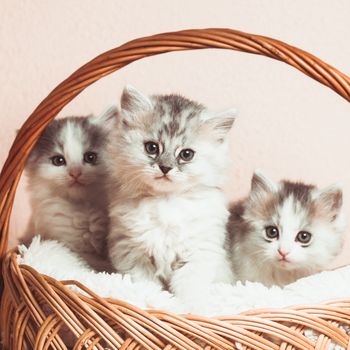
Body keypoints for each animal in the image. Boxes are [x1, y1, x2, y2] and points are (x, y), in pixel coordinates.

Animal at [23, 108, 116, 272]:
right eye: (58, 160)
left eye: (90, 157)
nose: (75, 173)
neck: (83, 208)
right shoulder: (65, 243)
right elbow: (90, 263)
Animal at [108, 85, 237, 304]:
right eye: (152, 147)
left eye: (186, 154)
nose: (165, 168)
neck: (166, 202)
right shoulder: (131, 252)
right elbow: (146, 286)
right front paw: (154, 302)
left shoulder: (200, 252)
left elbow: (190, 289)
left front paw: (190, 308)